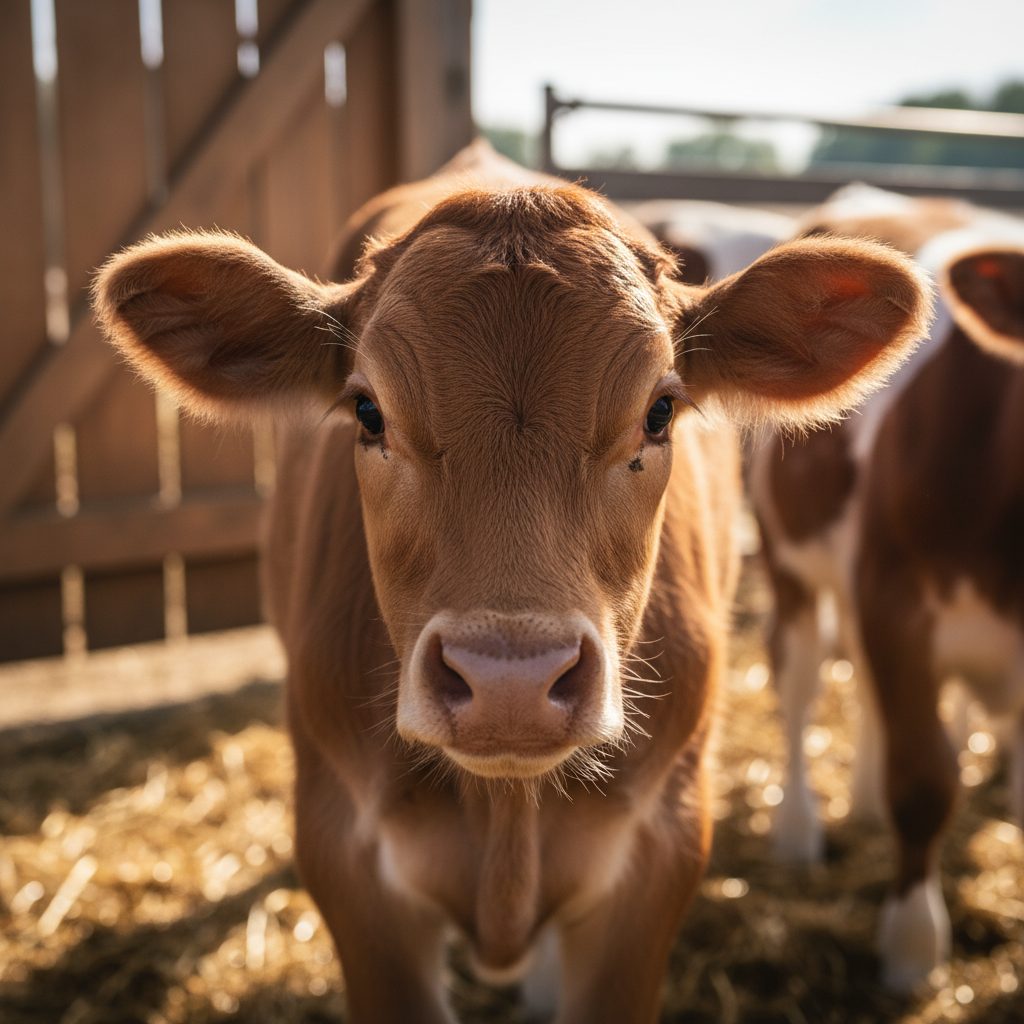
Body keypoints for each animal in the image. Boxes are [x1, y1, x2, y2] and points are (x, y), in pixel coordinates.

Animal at [750, 184, 1024, 992]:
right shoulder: (895, 601)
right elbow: (925, 781)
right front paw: (911, 947)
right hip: (790, 560)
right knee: (801, 680)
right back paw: (799, 830)